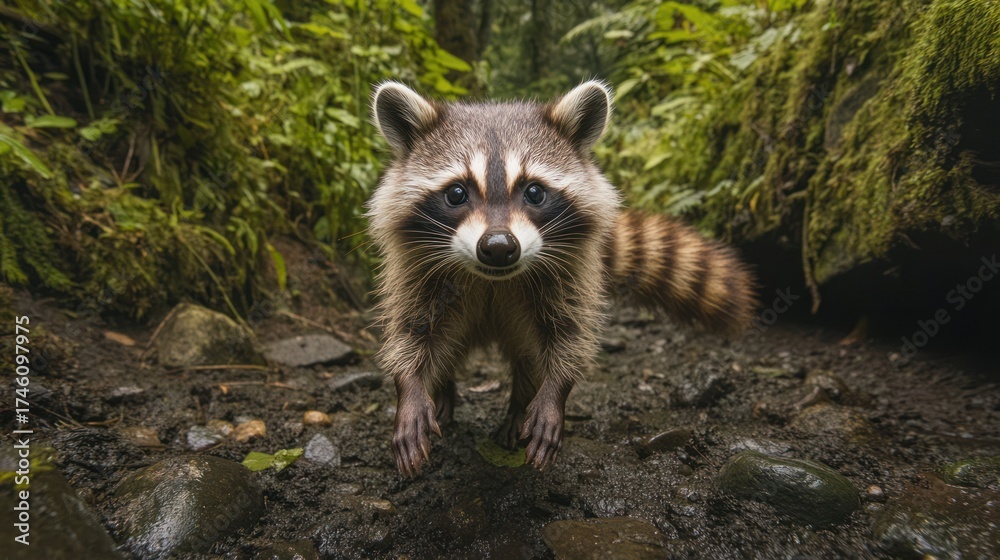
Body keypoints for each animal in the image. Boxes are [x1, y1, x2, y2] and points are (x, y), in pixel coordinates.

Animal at [367, 80, 756, 476]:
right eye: (457, 193)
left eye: (534, 192)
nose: (498, 247)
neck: (494, 279)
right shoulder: (414, 271)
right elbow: (410, 330)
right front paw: (410, 387)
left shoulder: (572, 274)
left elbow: (569, 336)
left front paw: (555, 389)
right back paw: (443, 389)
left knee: (527, 351)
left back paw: (520, 404)